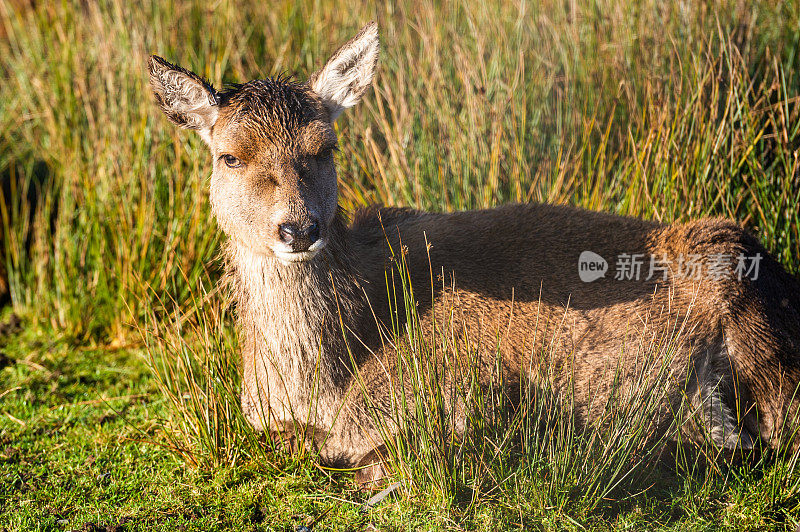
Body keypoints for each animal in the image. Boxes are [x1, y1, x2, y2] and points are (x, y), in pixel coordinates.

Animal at [148, 22, 800, 484]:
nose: (298, 229)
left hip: (746, 312)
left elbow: (358, 453)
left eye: (324, 146)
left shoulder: (454, 390)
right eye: (229, 156)